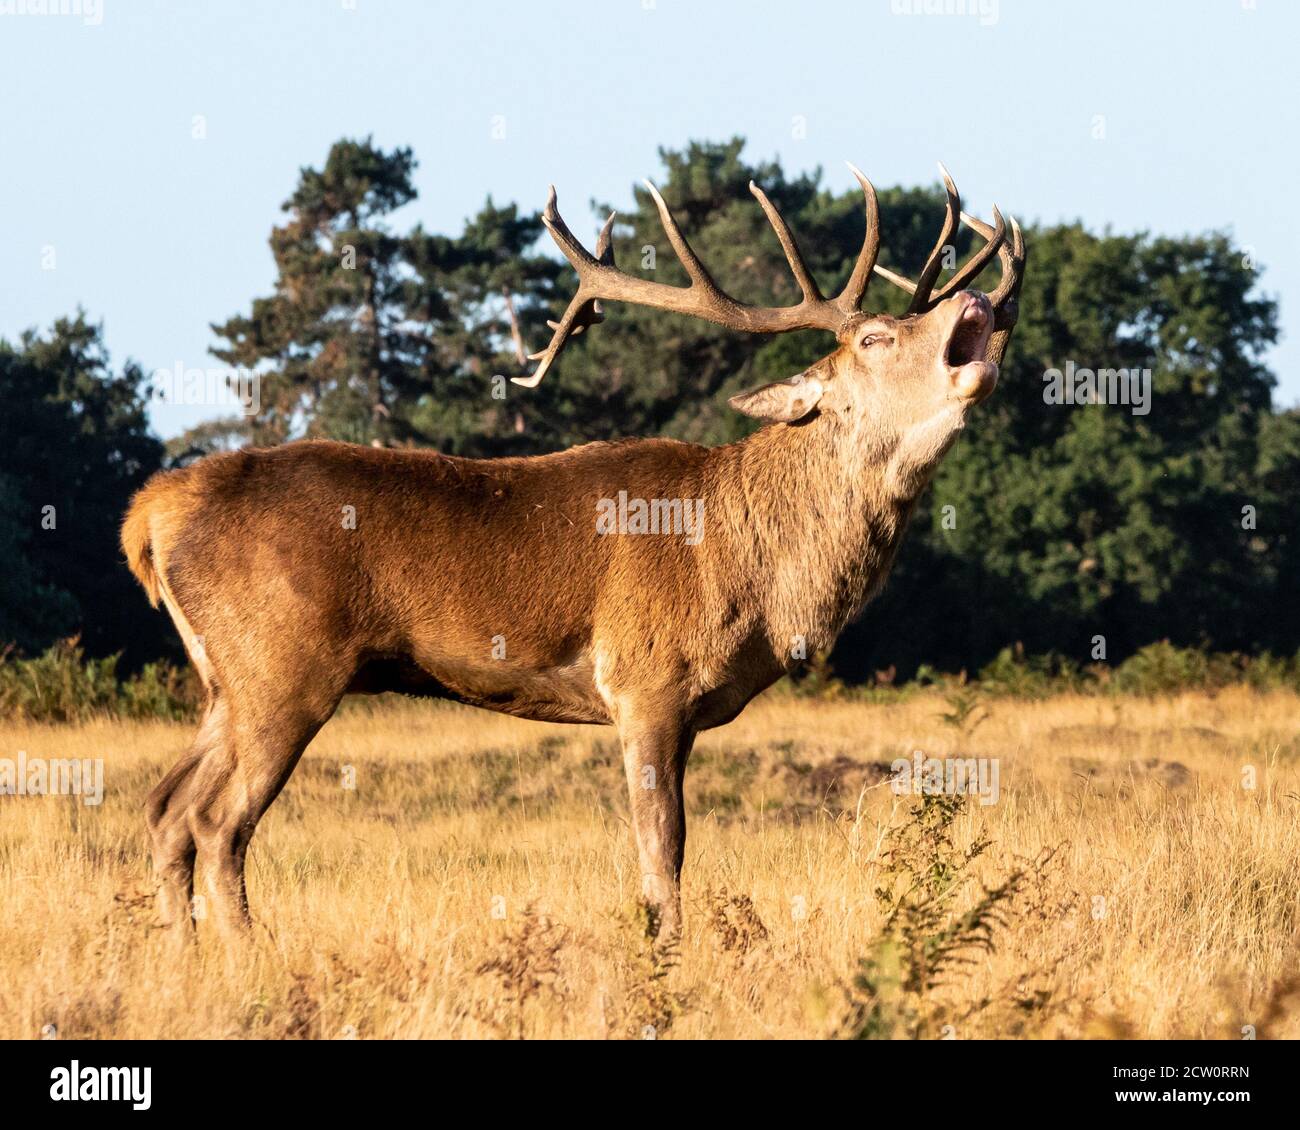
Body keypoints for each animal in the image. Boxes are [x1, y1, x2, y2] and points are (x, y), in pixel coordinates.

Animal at [124, 161, 1024, 936]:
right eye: (874, 338)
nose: (980, 301)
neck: (751, 572)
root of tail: (151, 514)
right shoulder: (645, 679)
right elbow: (663, 857)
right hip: (284, 664)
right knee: (216, 822)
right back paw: (246, 956)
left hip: (226, 680)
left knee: (166, 808)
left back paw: (183, 955)